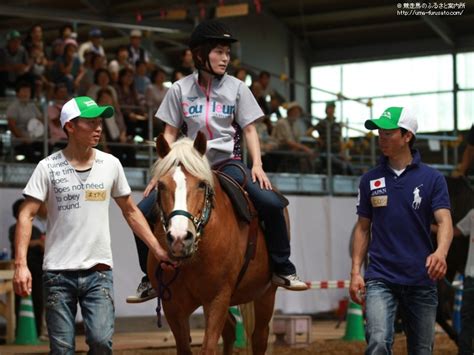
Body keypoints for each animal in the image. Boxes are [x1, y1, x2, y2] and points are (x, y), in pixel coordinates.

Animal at [147, 133, 278, 355]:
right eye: (161, 185)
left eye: (201, 184)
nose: (180, 238)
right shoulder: (172, 305)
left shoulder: (218, 298)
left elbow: (208, 348)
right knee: (231, 331)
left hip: (266, 293)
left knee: (259, 337)